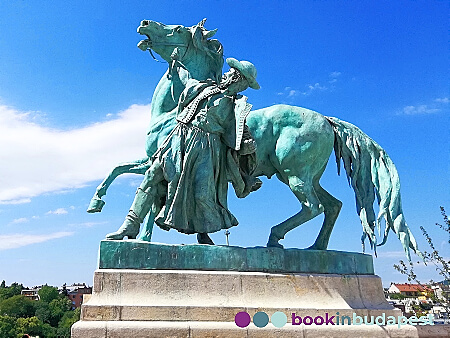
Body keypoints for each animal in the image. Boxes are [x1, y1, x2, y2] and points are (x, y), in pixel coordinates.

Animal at [88, 19, 422, 260]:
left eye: (179, 29)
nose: (144, 23)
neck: (177, 107)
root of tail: (327, 120)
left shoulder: (163, 159)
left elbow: (141, 188)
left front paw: (131, 231)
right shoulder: (153, 159)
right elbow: (119, 170)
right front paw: (119, 220)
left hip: (293, 174)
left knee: (313, 207)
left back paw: (275, 238)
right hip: (307, 176)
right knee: (332, 205)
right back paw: (316, 248)